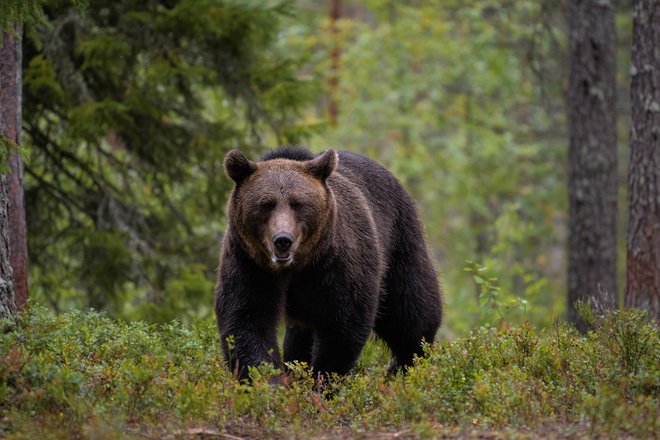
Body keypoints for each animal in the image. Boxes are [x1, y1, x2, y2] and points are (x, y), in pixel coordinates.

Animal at [217, 146, 444, 380]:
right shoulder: (250, 264)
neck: (296, 266)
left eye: (297, 203)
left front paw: (323, 379)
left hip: (399, 242)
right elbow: (247, 320)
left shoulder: (337, 265)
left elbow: (342, 326)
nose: (282, 240)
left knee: (410, 313)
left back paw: (405, 366)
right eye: (266, 204)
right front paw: (269, 380)